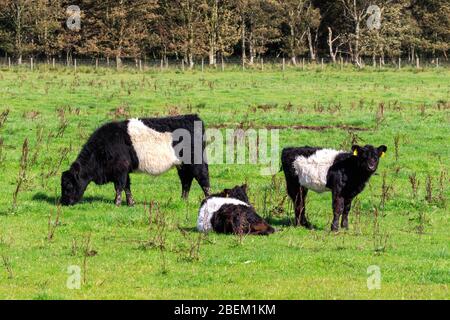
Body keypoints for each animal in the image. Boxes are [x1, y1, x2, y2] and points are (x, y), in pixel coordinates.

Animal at [60, 114, 213, 206]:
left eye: (68, 185)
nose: (63, 202)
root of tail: (193, 117)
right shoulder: (124, 170)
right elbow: (127, 186)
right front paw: (131, 203)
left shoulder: (120, 170)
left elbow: (119, 186)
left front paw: (117, 203)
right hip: (182, 165)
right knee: (186, 181)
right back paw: (182, 201)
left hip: (196, 162)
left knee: (203, 179)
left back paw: (208, 200)